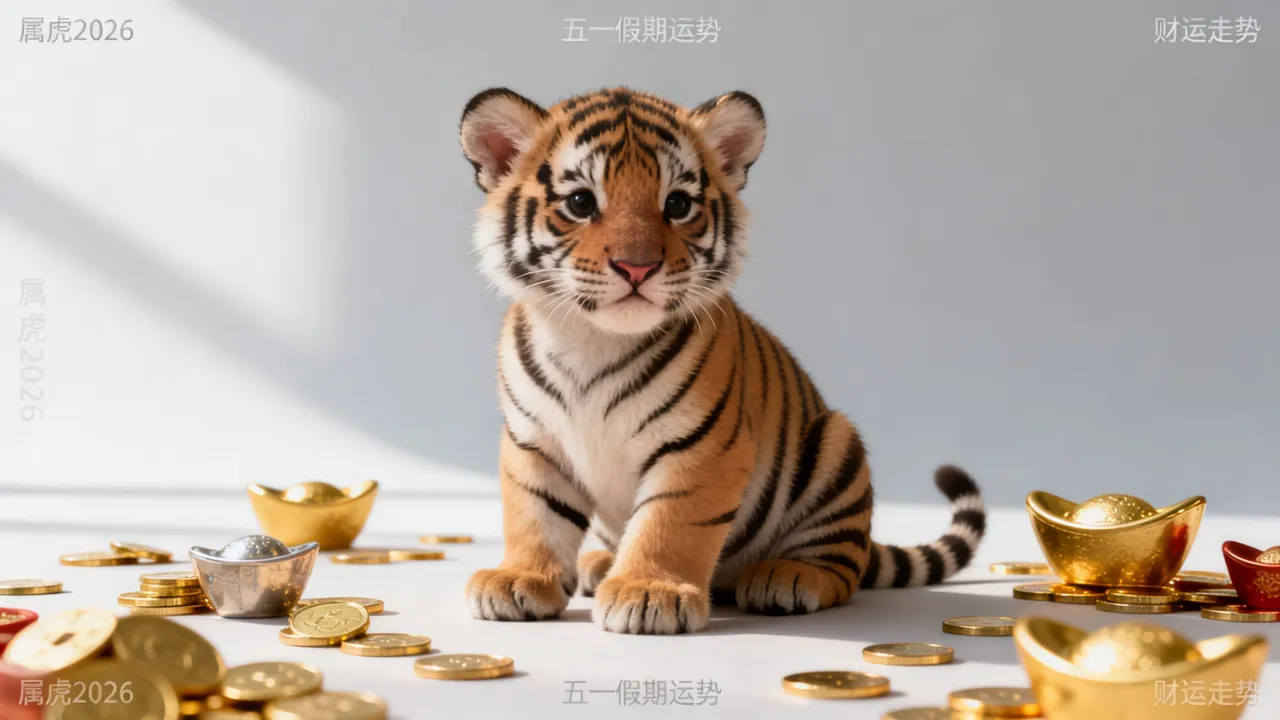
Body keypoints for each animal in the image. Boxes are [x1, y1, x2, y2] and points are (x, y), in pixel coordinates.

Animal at [459, 86, 987, 635]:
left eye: (677, 204)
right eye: (582, 202)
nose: (637, 267)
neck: (593, 341)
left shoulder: (702, 445)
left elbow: (669, 521)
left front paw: (649, 591)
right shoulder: (533, 441)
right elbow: (535, 517)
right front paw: (518, 580)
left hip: (837, 448)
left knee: (841, 567)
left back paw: (786, 577)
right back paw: (599, 565)